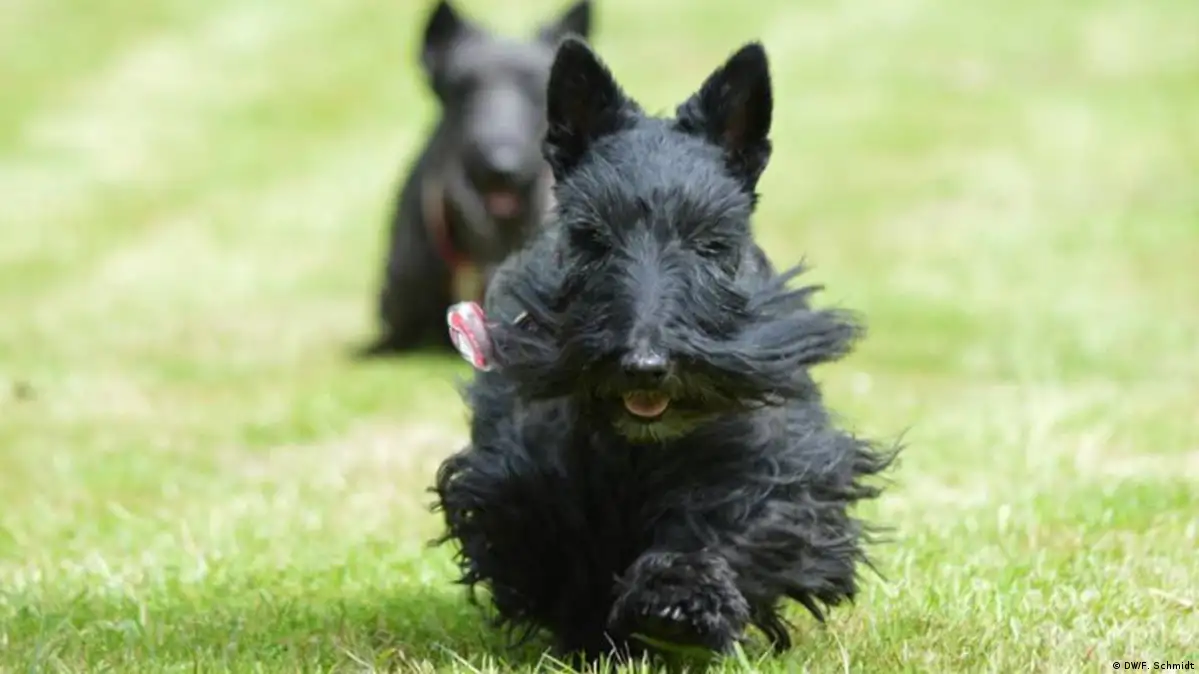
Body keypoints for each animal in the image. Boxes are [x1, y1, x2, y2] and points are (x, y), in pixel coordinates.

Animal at [432, 38, 899, 663]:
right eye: (591, 237)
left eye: (710, 241)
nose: (644, 367)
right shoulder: (522, 468)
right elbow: (546, 527)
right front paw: (591, 624)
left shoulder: (768, 469)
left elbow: (724, 525)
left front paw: (679, 604)